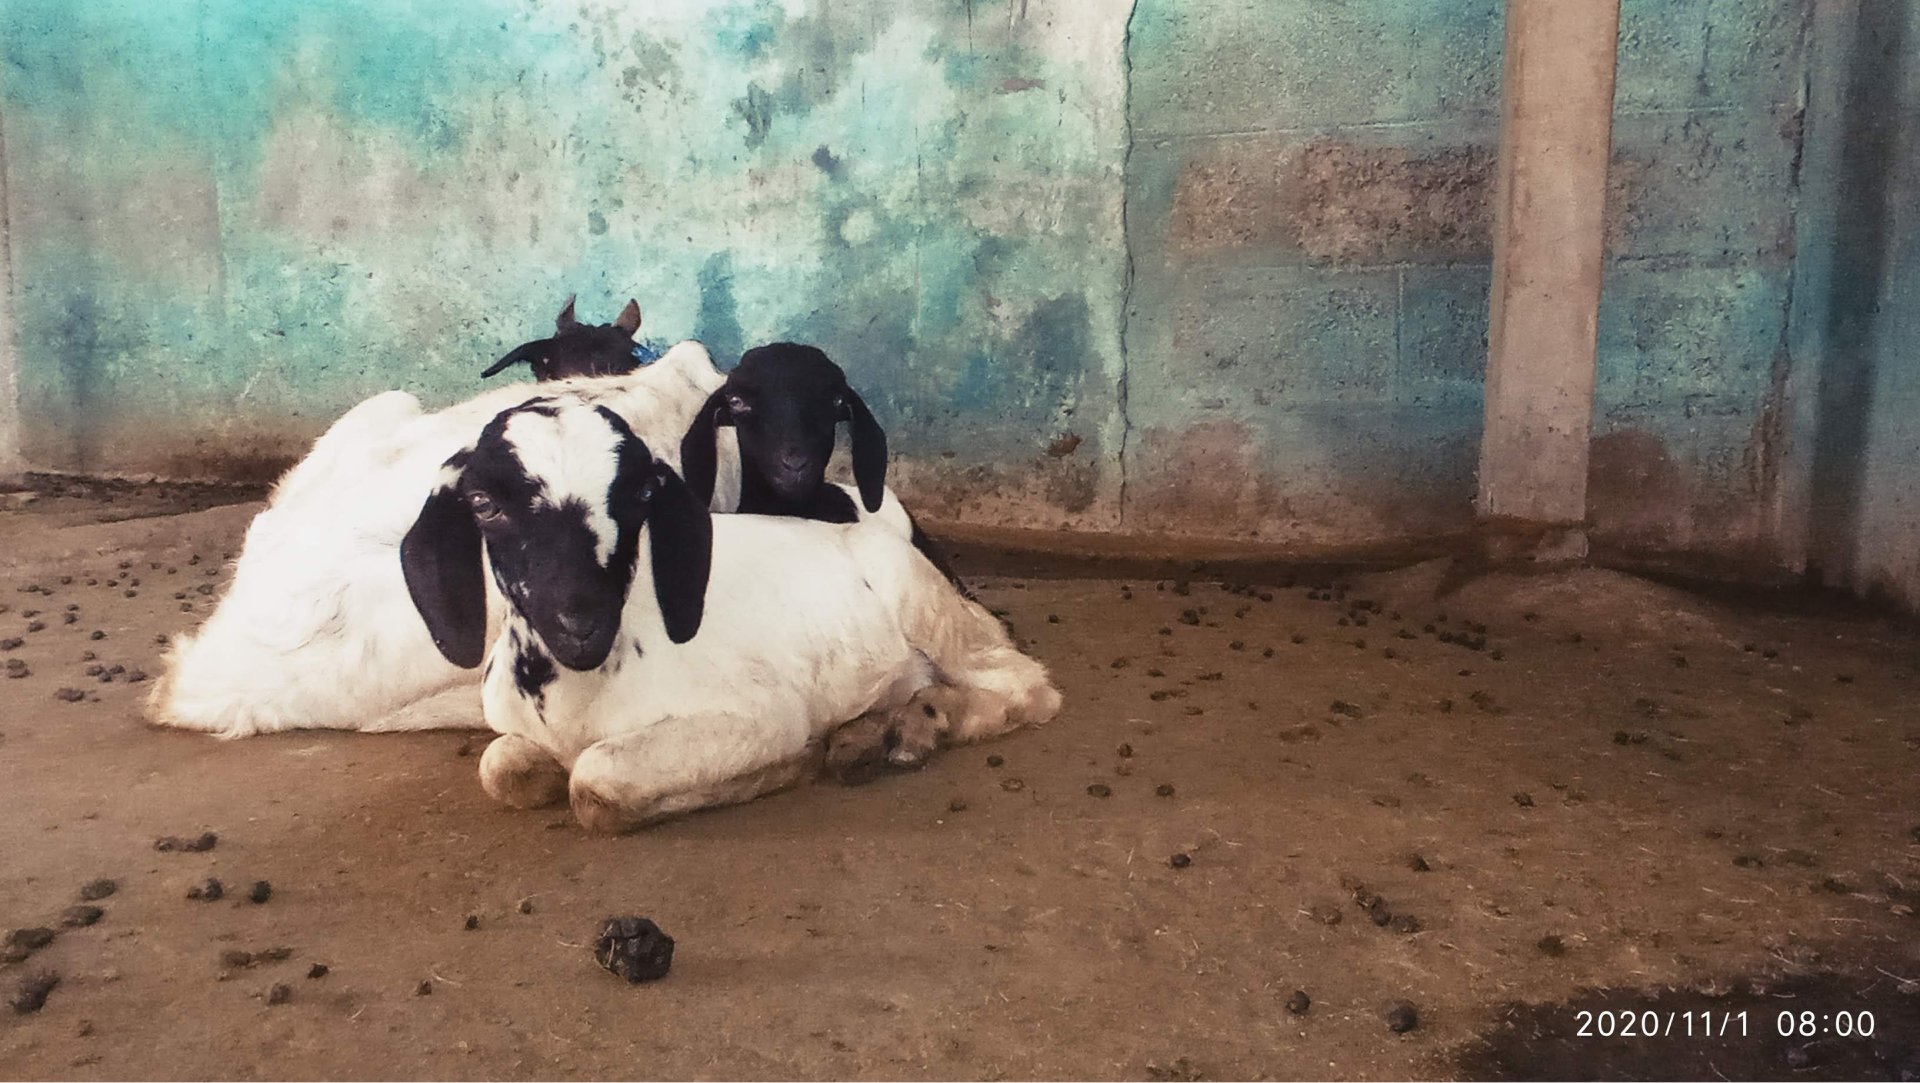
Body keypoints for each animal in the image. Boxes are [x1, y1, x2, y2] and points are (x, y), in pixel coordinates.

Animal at [400, 395, 1060, 833]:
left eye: (640, 493)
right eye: (483, 502)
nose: (580, 621)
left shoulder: (760, 716)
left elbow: (593, 783)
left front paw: (788, 767)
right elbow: (500, 768)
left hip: (926, 604)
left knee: (1025, 687)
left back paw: (925, 725)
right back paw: (872, 734)